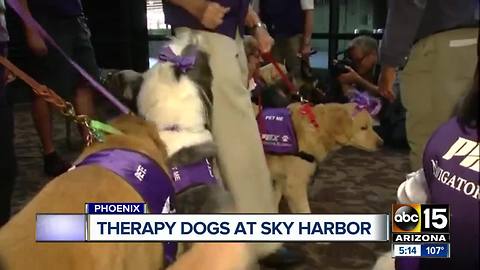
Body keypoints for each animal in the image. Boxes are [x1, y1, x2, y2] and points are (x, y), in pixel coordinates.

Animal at [256, 102, 384, 214]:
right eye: (363, 127)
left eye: (372, 126)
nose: (381, 143)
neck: (317, 127)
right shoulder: (295, 185)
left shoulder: (280, 181)